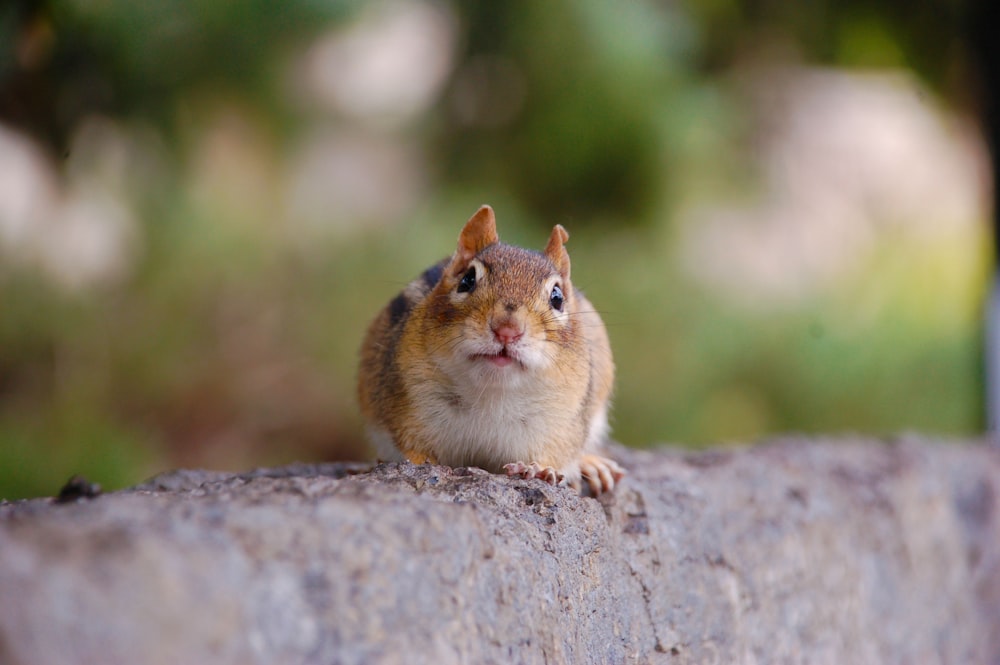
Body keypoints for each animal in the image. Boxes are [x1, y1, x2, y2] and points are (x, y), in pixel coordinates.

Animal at [360, 205, 624, 496]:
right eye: (467, 280)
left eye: (557, 297)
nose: (507, 330)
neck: (493, 394)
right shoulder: (408, 404)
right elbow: (411, 451)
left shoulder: (562, 423)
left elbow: (556, 453)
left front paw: (538, 468)